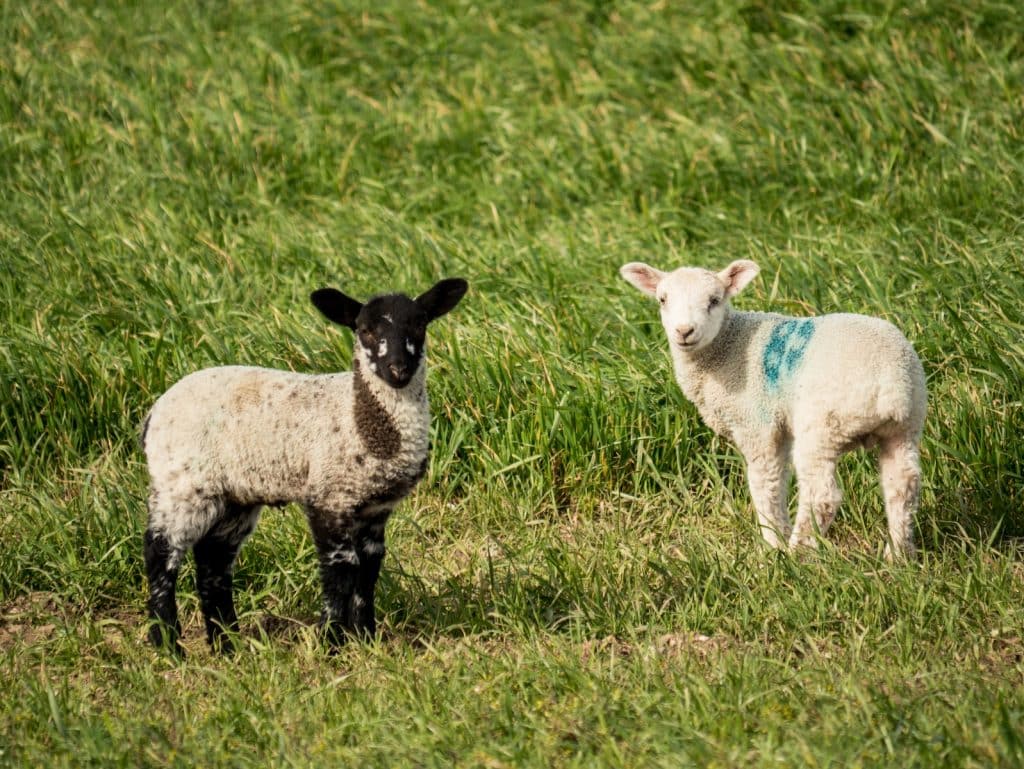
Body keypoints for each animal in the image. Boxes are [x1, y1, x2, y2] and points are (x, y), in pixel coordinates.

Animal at [141, 277, 468, 654]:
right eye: (366, 330)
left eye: (419, 324)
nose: (398, 371)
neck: (362, 419)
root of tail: (154, 413)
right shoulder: (329, 496)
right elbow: (340, 568)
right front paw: (331, 642)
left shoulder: (373, 509)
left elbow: (369, 569)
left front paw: (366, 639)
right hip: (181, 482)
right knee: (161, 552)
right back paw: (168, 644)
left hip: (234, 495)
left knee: (214, 562)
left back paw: (227, 645)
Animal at [620, 259, 926, 559]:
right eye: (662, 300)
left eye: (714, 300)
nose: (684, 331)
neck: (725, 348)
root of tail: (890, 384)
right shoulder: (778, 426)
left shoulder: (756, 423)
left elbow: (765, 484)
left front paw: (772, 544)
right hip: (906, 425)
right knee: (903, 485)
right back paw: (897, 556)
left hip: (823, 424)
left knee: (821, 495)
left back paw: (797, 554)